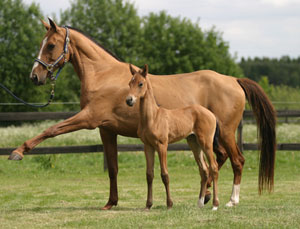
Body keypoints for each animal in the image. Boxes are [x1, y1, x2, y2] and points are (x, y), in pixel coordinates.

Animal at [126, 64, 220, 209]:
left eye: (140, 83)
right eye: (130, 83)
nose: (129, 100)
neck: (152, 118)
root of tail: (212, 114)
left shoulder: (162, 145)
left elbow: (165, 174)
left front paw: (169, 203)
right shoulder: (148, 146)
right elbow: (149, 175)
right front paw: (148, 204)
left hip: (206, 143)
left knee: (214, 167)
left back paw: (215, 204)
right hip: (194, 143)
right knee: (204, 170)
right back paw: (200, 203)